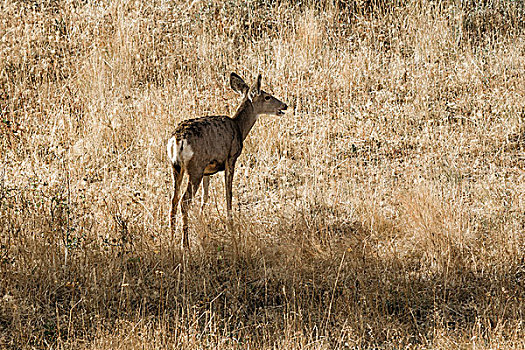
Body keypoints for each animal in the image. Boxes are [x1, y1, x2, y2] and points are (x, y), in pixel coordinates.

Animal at [167, 72, 286, 249]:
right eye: (267, 96)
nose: (284, 106)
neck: (239, 127)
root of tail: (177, 140)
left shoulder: (207, 171)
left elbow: (205, 197)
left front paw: (203, 222)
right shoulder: (231, 158)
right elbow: (228, 193)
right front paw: (231, 224)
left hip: (177, 167)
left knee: (173, 200)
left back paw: (171, 238)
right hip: (195, 168)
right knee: (184, 201)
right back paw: (185, 244)